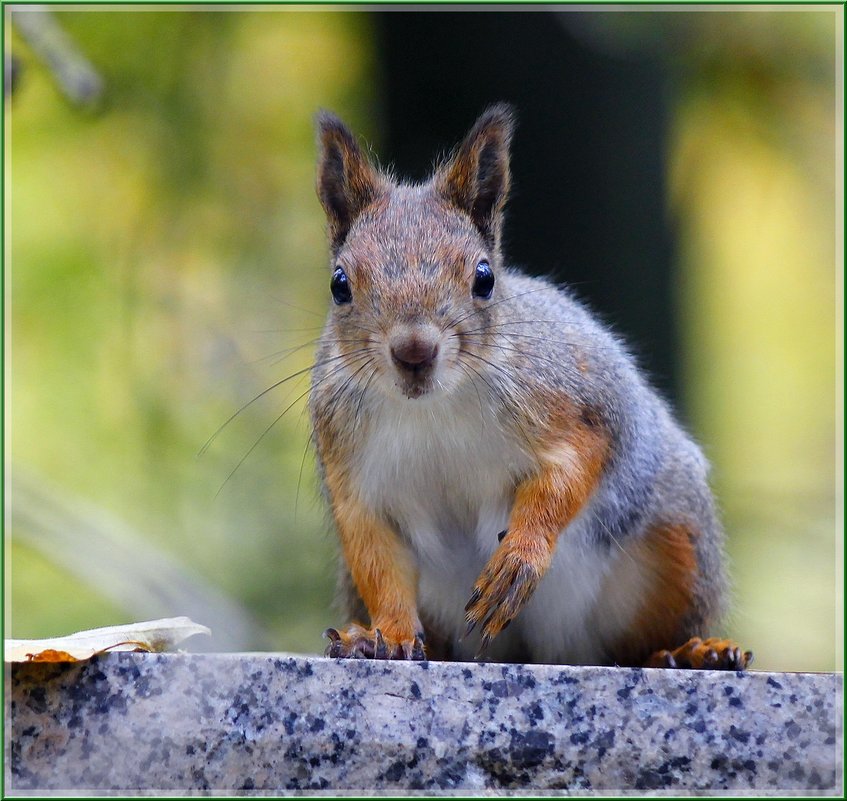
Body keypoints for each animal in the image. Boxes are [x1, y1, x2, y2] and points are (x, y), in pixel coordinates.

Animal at [308, 104, 752, 668]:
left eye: (484, 278)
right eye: (339, 284)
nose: (413, 352)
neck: (433, 407)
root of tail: (551, 649)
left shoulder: (571, 401)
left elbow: (572, 469)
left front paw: (519, 560)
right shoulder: (353, 474)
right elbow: (378, 562)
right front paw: (387, 635)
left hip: (676, 540)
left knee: (643, 640)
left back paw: (693, 651)